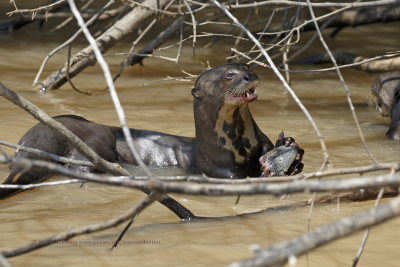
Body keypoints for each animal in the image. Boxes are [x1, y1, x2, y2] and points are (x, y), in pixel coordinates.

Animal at [0, 62, 304, 199]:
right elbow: (241, 178)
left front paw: (290, 148)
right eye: (230, 75)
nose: (250, 75)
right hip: (95, 138)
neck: (238, 144)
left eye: (246, 66)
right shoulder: (218, 171)